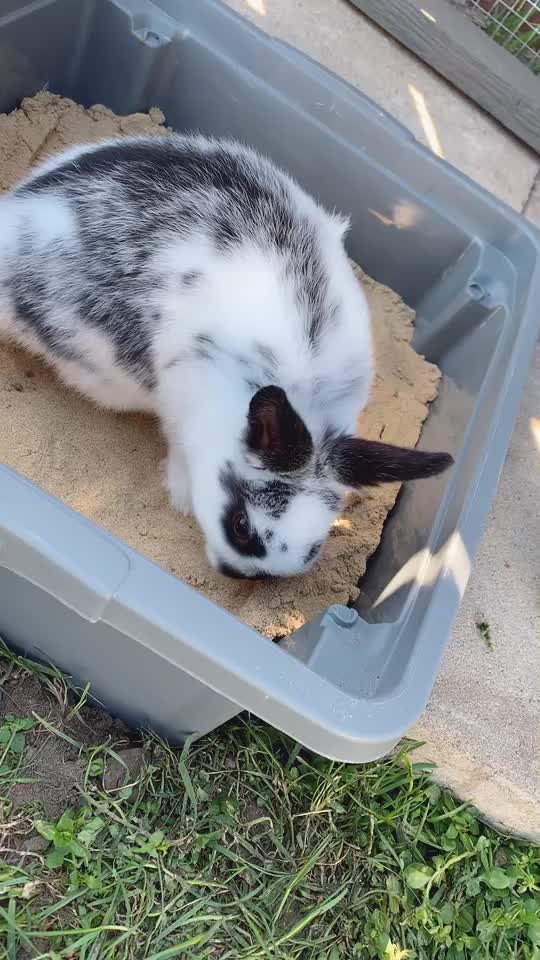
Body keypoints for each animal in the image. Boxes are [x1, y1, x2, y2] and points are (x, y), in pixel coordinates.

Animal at [0, 134, 453, 580]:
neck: (304, 398)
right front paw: (181, 495)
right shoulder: (178, 408)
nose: (237, 574)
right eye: (241, 525)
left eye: (315, 547)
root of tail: (17, 217)